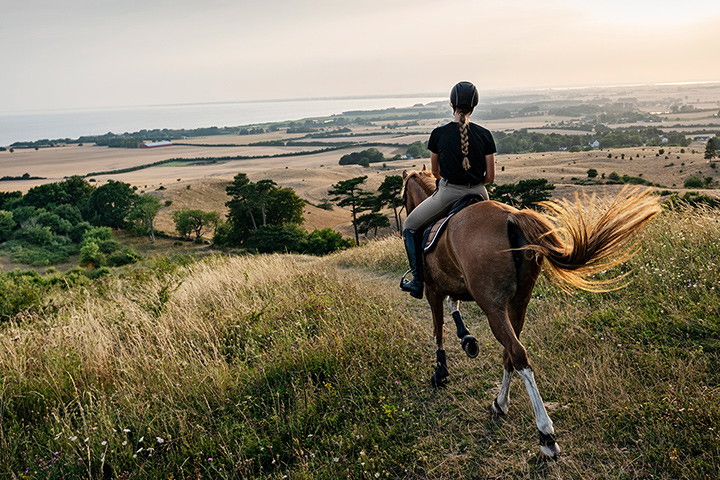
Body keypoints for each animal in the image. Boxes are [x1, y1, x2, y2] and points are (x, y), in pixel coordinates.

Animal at [402, 167, 660, 460]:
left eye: (404, 194)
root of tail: (511, 217)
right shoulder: (452, 283)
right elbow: (453, 305)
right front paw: (467, 339)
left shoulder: (432, 289)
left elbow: (438, 331)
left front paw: (441, 371)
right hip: (519, 304)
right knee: (510, 354)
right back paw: (500, 403)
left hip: (493, 307)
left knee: (517, 355)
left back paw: (545, 434)